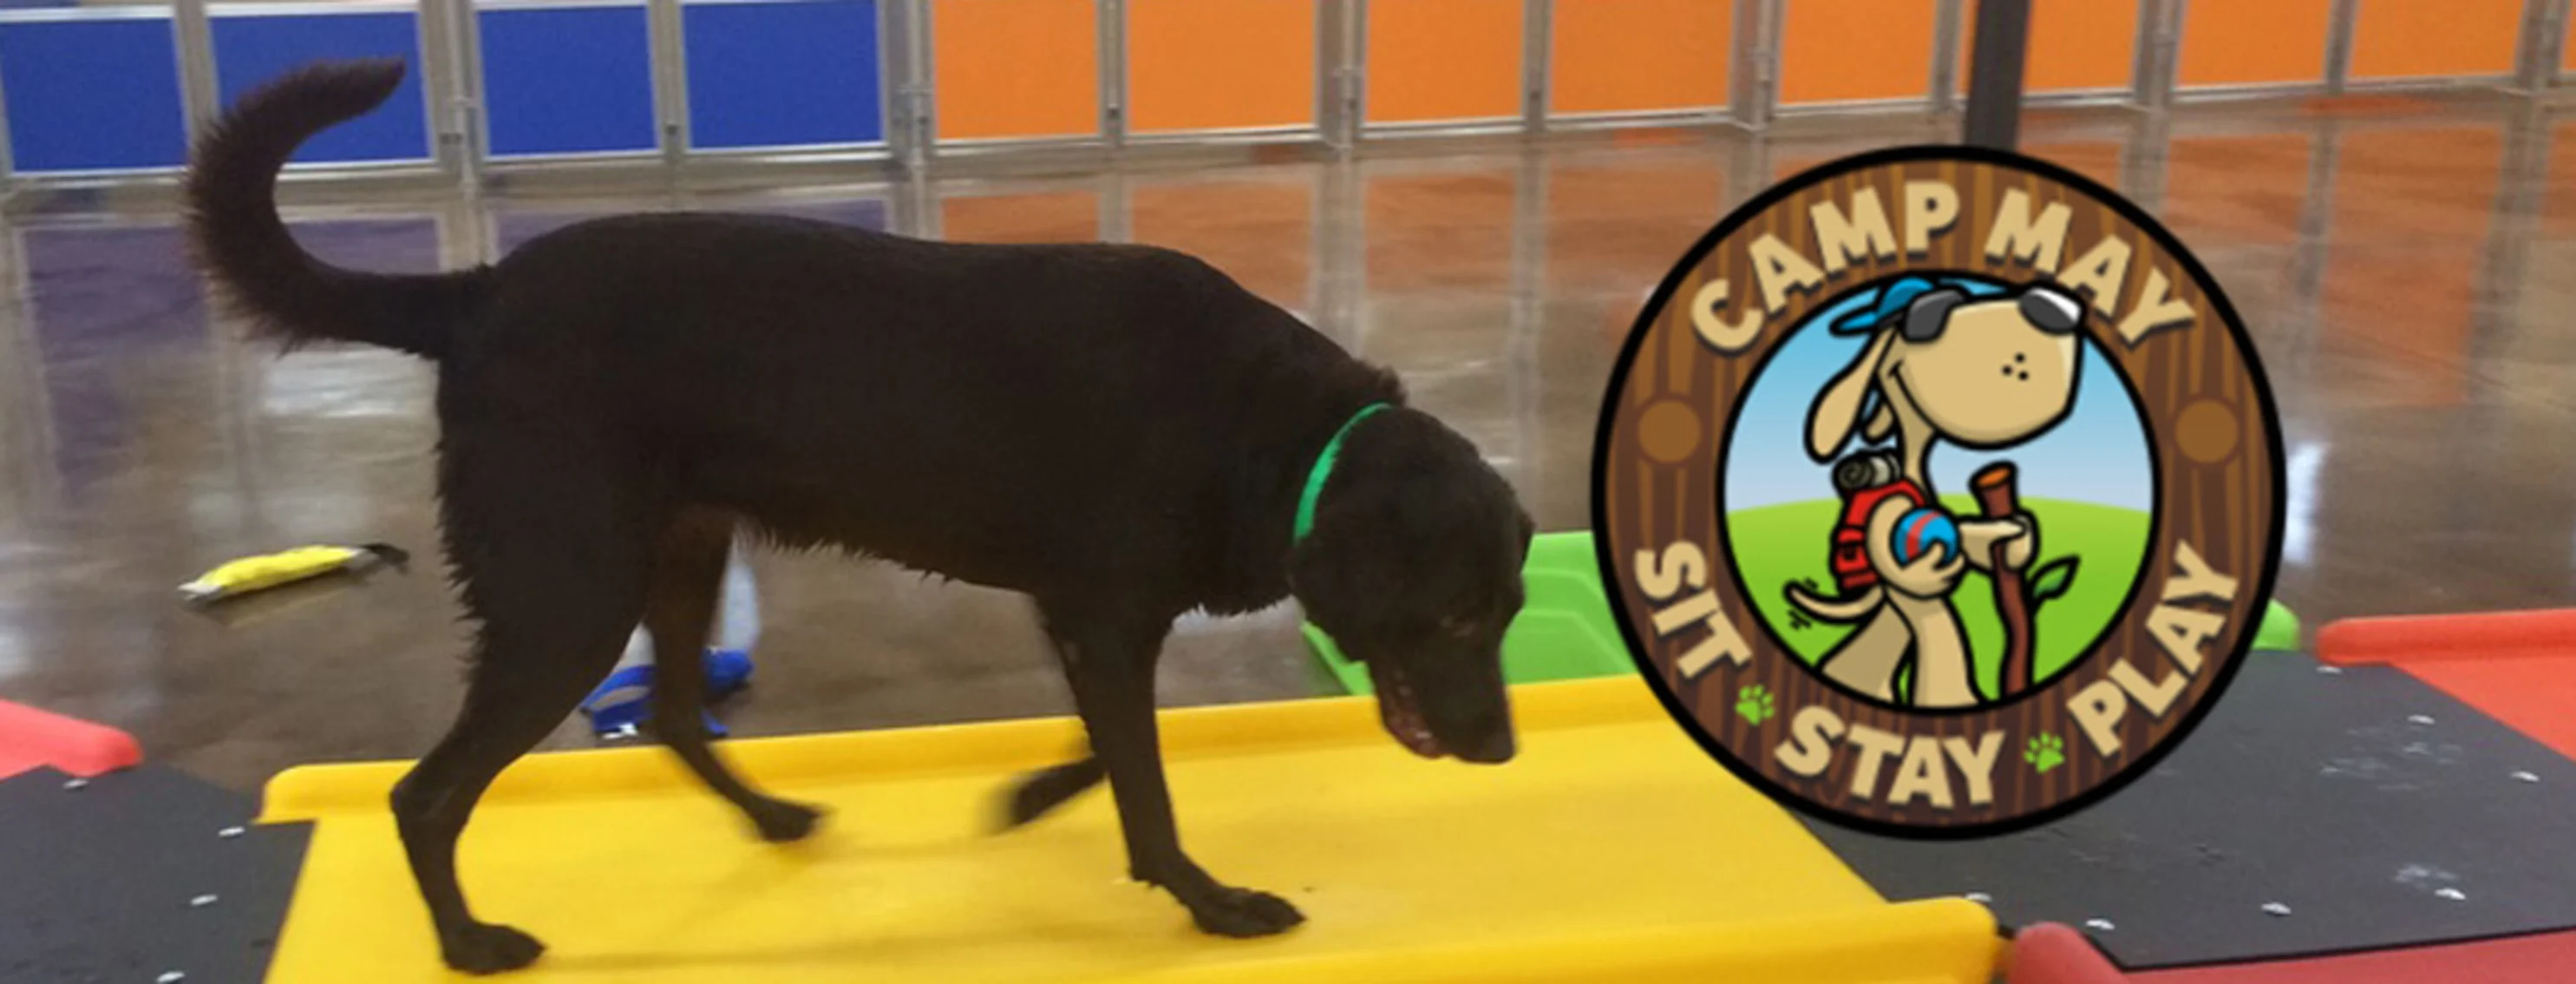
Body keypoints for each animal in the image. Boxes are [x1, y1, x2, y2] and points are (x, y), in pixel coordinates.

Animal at [195, 61, 1525, 979]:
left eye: (1510, 612)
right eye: (1457, 617)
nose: (1505, 752)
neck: (1280, 435)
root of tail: (474, 296)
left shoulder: (1082, 616)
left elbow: (1113, 748)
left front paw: (1028, 798)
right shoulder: (1104, 618)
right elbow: (1143, 782)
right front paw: (1210, 902)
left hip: (679, 554)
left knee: (670, 713)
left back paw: (775, 814)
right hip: (566, 600)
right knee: (426, 794)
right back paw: (470, 943)